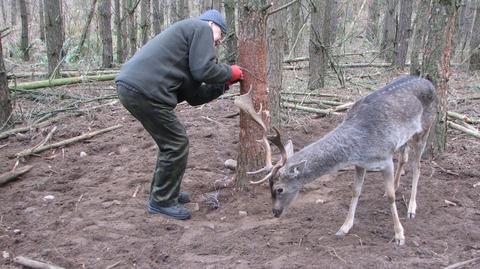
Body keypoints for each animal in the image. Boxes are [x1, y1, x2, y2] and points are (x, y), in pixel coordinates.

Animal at [234, 75, 436, 245]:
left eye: (279, 189)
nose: (275, 212)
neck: (360, 144)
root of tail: (430, 83)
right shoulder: (361, 163)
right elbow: (355, 191)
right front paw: (344, 227)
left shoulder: (385, 156)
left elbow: (390, 197)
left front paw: (399, 235)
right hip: (405, 139)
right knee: (404, 157)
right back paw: (396, 184)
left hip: (425, 128)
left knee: (417, 166)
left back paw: (411, 208)